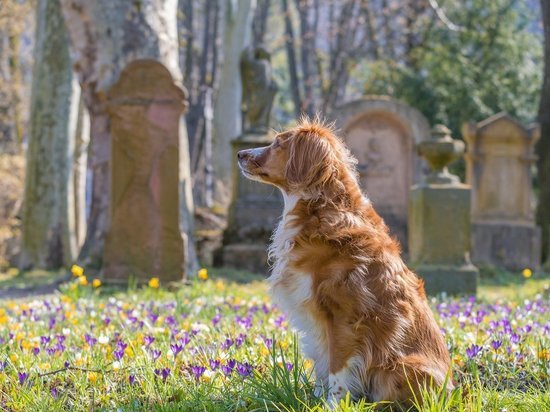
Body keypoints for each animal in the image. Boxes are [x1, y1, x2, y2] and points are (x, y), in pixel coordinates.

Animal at [239, 117, 454, 408]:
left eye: (279, 143)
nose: (240, 154)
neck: (318, 208)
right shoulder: (318, 319)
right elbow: (322, 363)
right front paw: (315, 400)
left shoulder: (344, 316)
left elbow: (337, 367)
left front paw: (332, 405)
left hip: (402, 367)